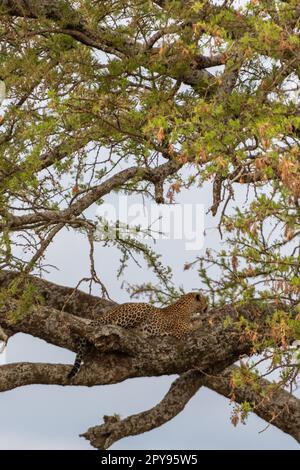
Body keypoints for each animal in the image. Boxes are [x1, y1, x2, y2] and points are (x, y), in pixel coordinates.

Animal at [68, 292, 209, 380]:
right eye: (206, 300)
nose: (208, 306)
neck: (188, 307)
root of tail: (114, 310)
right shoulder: (181, 330)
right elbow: (193, 326)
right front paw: (202, 321)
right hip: (139, 310)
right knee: (113, 324)